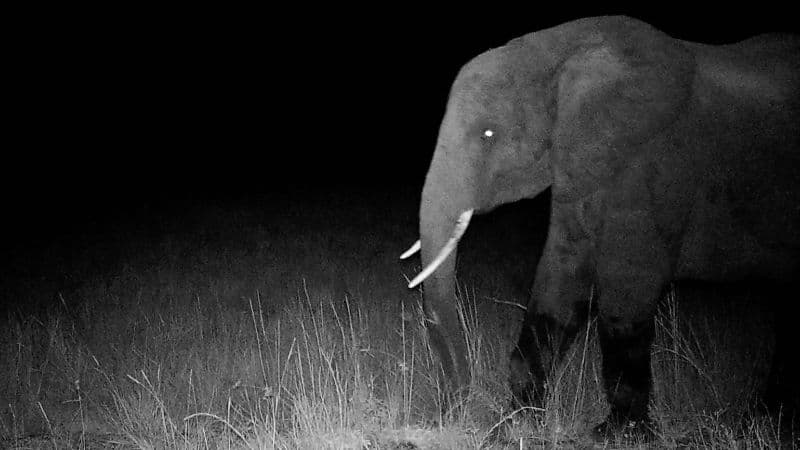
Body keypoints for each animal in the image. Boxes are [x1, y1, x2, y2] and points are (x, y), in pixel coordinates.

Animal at [401, 16, 800, 439]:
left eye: (488, 134)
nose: (453, 410)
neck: (558, 52)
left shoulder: (649, 164)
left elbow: (627, 292)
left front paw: (618, 433)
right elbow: (560, 282)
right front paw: (515, 423)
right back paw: (767, 419)